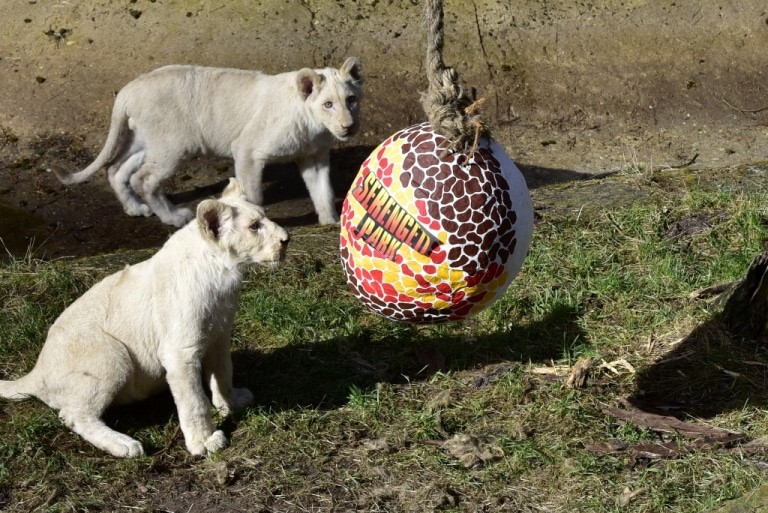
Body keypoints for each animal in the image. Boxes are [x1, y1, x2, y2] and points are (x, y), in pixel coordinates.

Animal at [0, 178, 289, 457]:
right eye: (254, 227)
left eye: (264, 217)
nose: (287, 239)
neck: (222, 273)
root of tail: (37, 372)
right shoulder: (179, 352)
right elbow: (194, 402)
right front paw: (205, 442)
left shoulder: (219, 334)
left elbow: (224, 371)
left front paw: (232, 402)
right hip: (111, 355)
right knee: (74, 415)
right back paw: (124, 445)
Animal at [54, 58, 363, 227]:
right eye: (327, 104)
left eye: (351, 99)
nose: (348, 126)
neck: (314, 125)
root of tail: (127, 90)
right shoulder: (247, 150)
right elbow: (253, 194)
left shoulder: (314, 157)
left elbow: (322, 190)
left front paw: (330, 221)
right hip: (170, 144)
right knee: (144, 179)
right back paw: (174, 217)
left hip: (147, 141)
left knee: (116, 169)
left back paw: (134, 209)